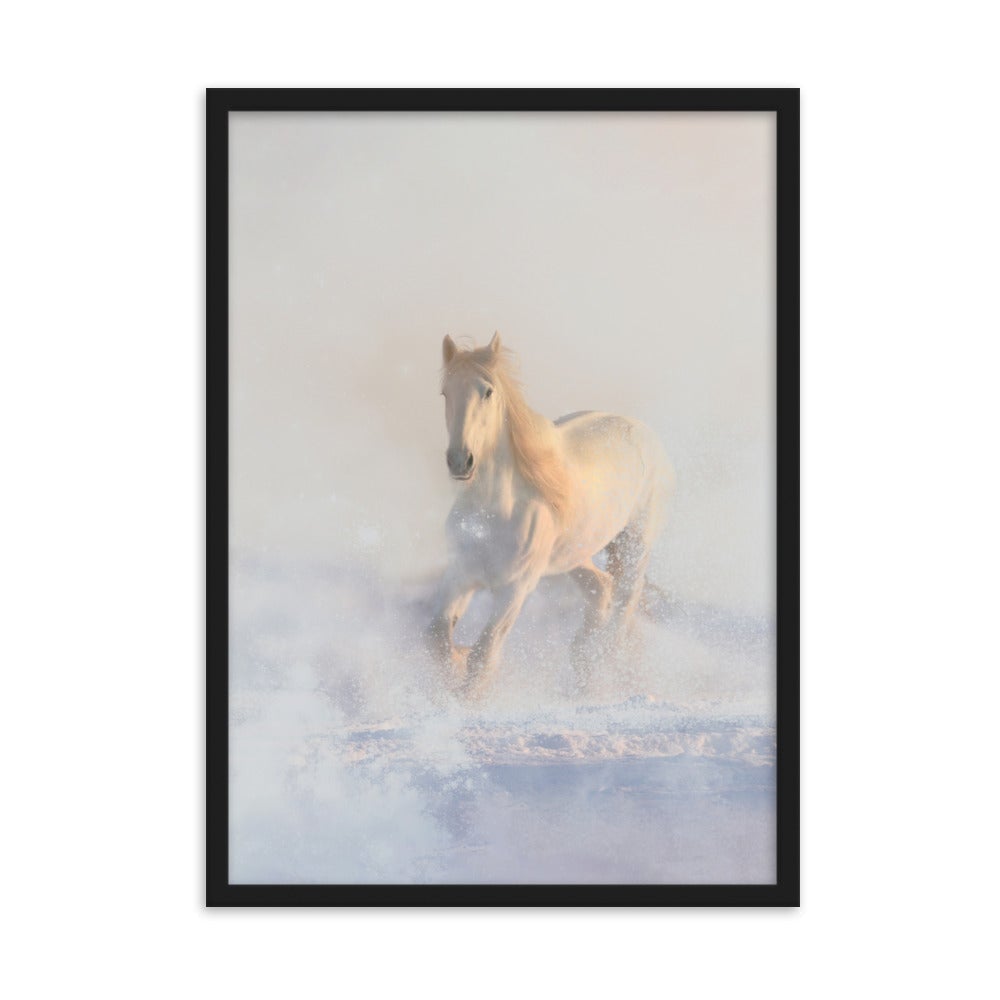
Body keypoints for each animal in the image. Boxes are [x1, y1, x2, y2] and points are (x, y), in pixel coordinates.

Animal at [426, 332, 675, 699]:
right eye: (446, 392)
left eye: (487, 391)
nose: (460, 461)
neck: (493, 514)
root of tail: (644, 433)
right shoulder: (461, 574)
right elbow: (437, 639)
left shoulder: (515, 589)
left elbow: (484, 656)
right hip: (575, 556)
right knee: (603, 589)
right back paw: (583, 667)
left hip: (635, 545)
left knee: (623, 607)